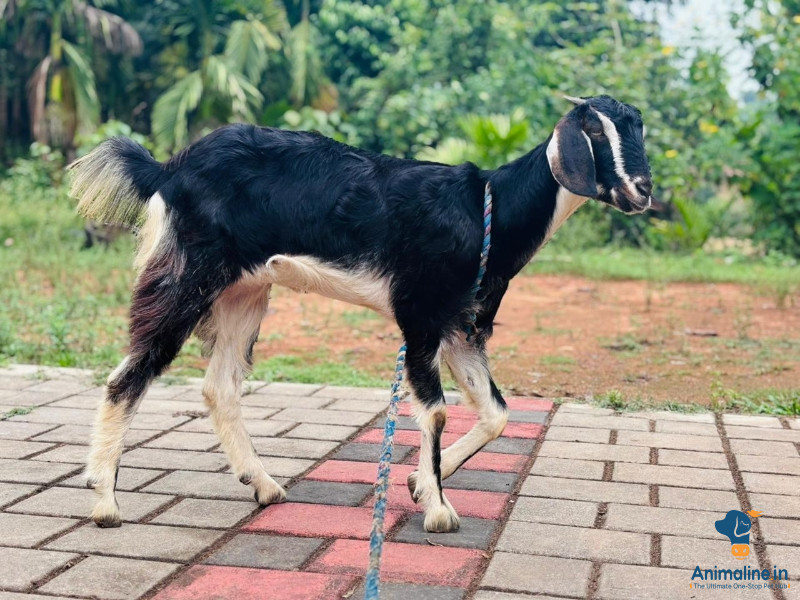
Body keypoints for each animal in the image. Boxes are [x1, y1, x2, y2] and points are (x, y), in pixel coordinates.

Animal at [69, 95, 652, 532]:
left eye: (639, 130)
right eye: (594, 133)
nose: (642, 190)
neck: (486, 208)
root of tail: (166, 169)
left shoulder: (462, 326)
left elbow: (496, 412)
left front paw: (419, 484)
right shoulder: (420, 313)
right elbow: (436, 410)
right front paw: (439, 508)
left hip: (245, 291)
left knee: (219, 385)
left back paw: (263, 485)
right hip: (188, 273)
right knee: (131, 372)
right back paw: (104, 500)